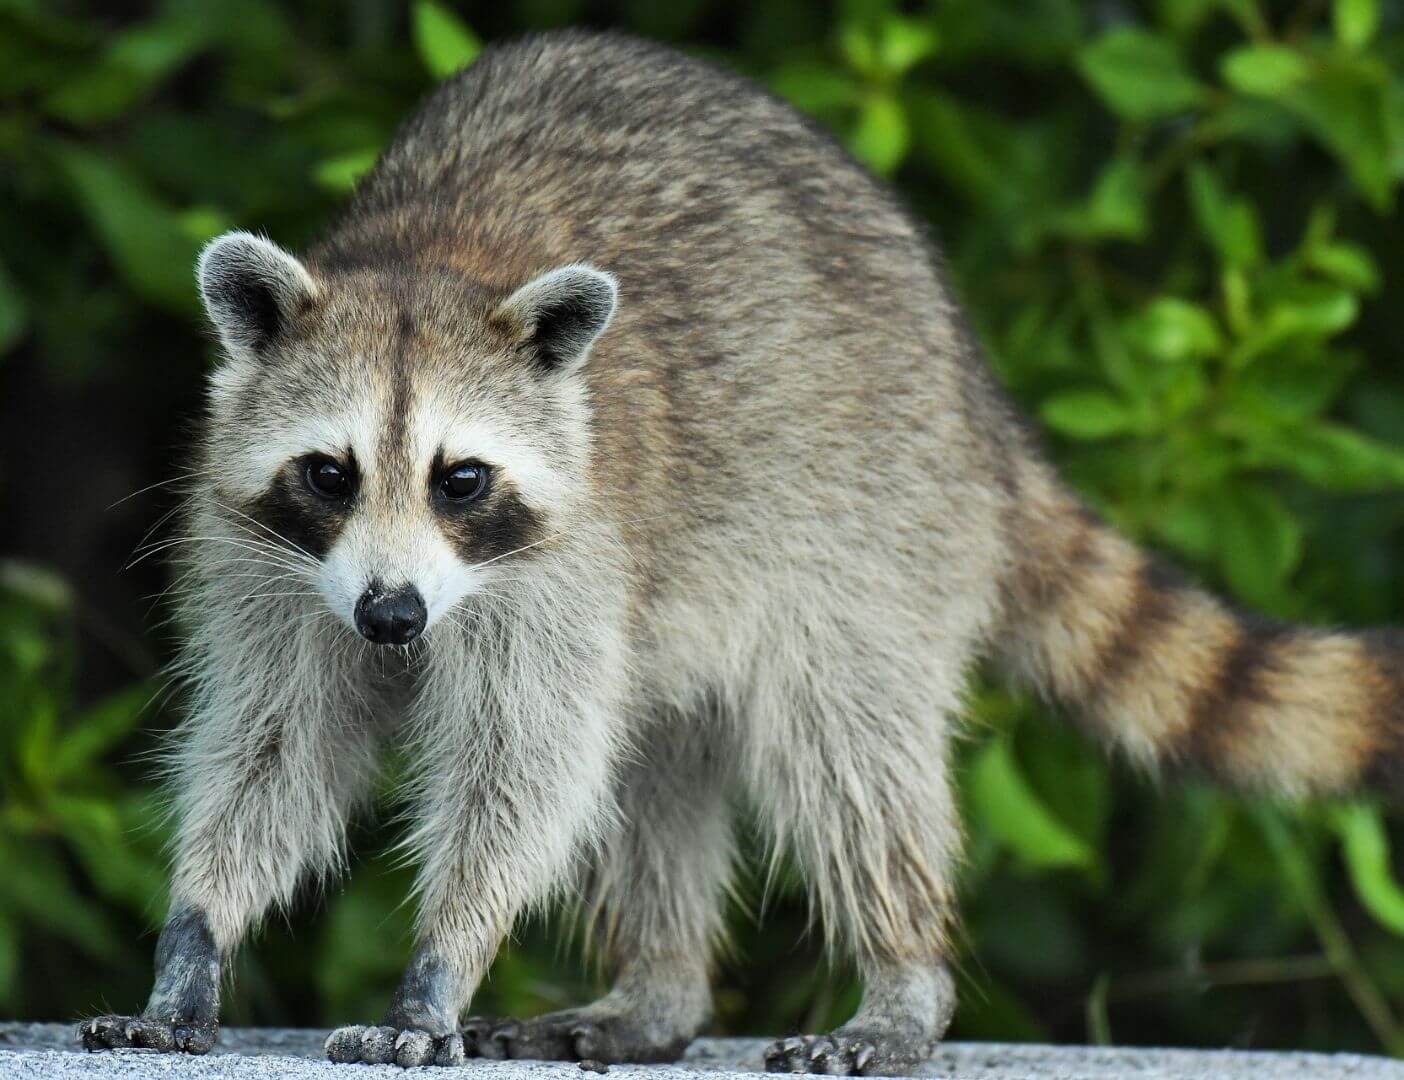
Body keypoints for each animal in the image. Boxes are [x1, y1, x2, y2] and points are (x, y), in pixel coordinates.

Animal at [77, 29, 1404, 1075]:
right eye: (332, 472)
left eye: (461, 479)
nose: (393, 620)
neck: (432, 257)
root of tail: (977, 402)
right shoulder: (265, 561)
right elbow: (274, 744)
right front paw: (197, 937)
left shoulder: (569, 561)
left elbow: (524, 766)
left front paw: (440, 963)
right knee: (656, 769)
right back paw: (659, 994)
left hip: (870, 523)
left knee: (846, 751)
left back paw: (901, 978)